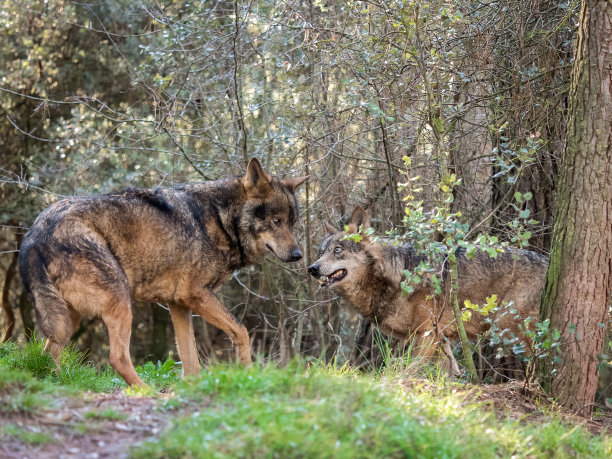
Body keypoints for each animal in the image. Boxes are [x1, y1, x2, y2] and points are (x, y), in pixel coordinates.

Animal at [19, 160, 308, 386]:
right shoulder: (195, 296)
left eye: (292, 223)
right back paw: (145, 392)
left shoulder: (178, 304)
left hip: (70, 318)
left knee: (49, 352)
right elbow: (242, 332)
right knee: (117, 357)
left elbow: (191, 361)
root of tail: (36, 232)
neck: (221, 219)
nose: (298, 256)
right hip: (119, 304)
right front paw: (248, 376)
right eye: (276, 221)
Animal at [308, 208, 548, 374]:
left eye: (337, 250)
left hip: (511, 328)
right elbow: (449, 372)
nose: (312, 268)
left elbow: (413, 368)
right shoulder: (441, 338)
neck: (398, 275)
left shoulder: (427, 334)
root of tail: (548, 260)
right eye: (321, 253)